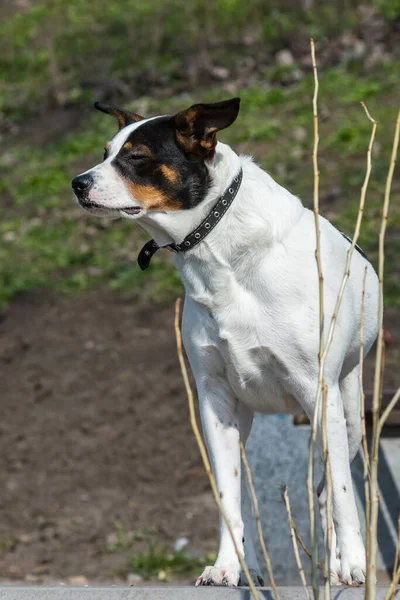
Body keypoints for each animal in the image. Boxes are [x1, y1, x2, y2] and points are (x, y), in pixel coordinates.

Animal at [72, 98, 382, 584]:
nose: (77, 184)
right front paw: (226, 567)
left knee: (330, 490)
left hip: (345, 413)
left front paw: (350, 564)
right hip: (248, 423)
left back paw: (336, 563)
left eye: (137, 157)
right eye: (105, 153)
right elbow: (228, 498)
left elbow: (342, 492)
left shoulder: (319, 391)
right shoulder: (215, 401)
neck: (219, 250)